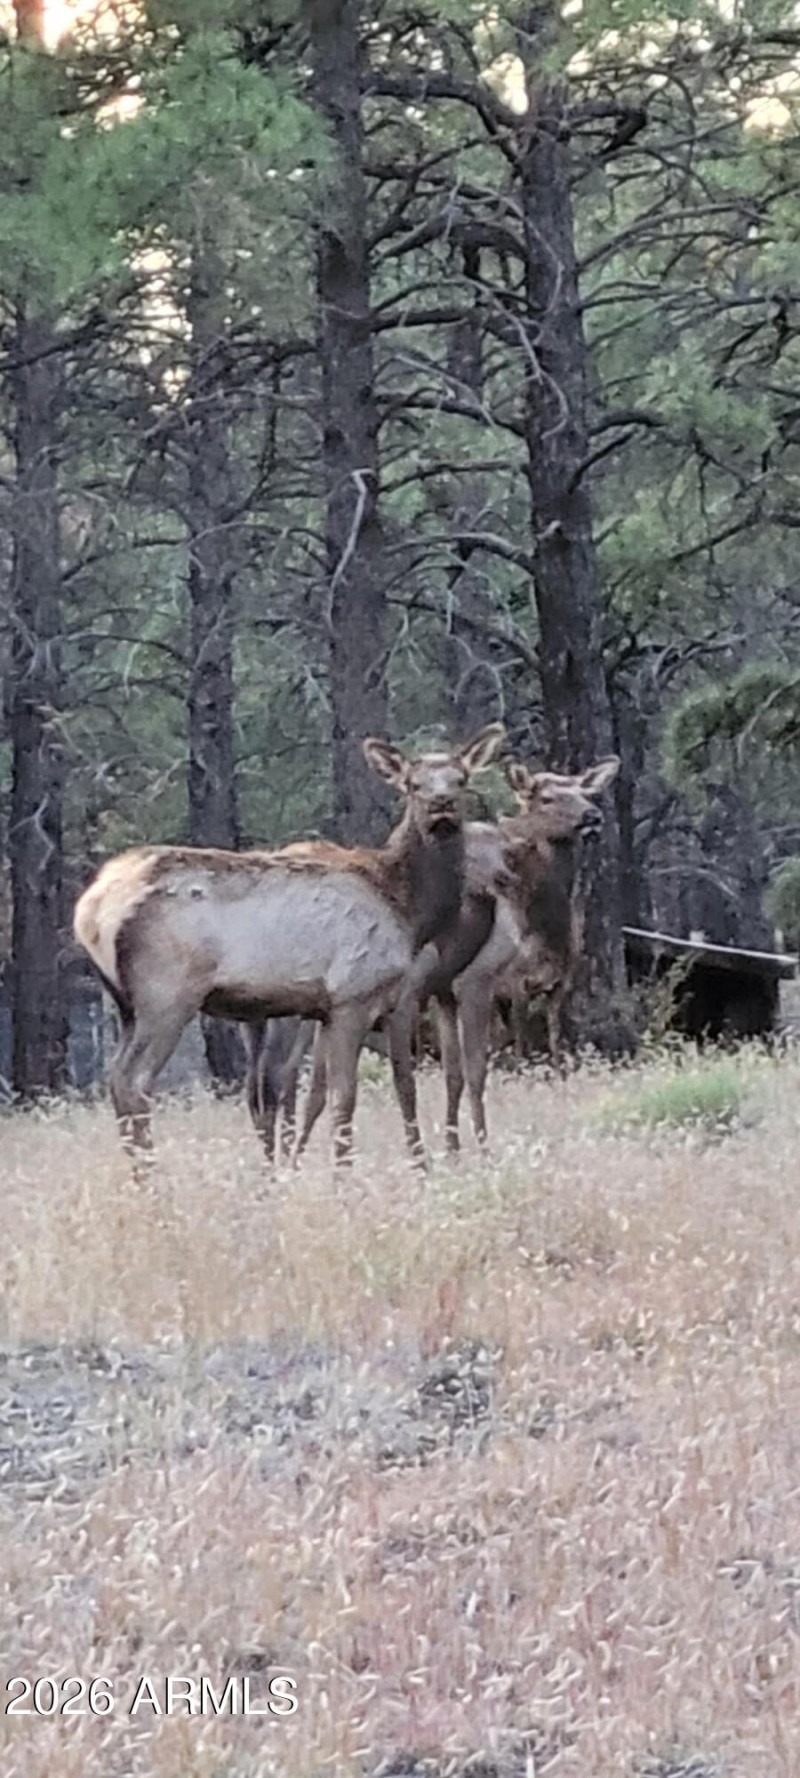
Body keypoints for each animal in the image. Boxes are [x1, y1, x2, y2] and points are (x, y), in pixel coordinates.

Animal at [72, 724, 506, 1168]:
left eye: (461, 779)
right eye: (413, 784)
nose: (441, 805)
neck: (409, 909)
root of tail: (90, 909)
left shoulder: (327, 1008)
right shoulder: (354, 995)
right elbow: (345, 1099)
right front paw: (344, 1173)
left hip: (126, 1005)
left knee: (117, 1079)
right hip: (166, 994)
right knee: (136, 1081)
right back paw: (151, 1173)